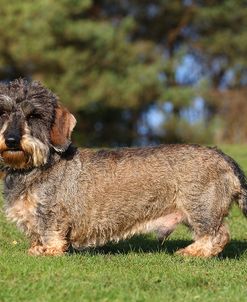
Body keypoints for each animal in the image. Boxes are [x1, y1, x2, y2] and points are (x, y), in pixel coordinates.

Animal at [0, 78, 246, 258]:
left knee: (217, 234)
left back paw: (193, 251)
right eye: (3, 112)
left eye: (34, 115)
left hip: (200, 208)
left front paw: (48, 251)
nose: (11, 140)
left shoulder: (51, 214)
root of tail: (222, 156)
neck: (33, 167)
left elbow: (52, 234)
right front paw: (36, 247)